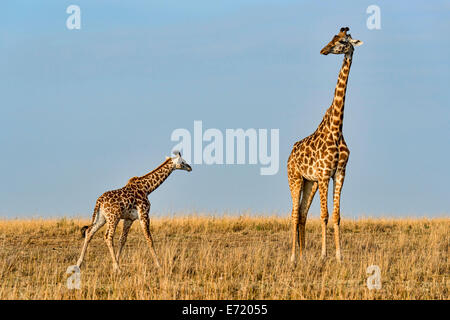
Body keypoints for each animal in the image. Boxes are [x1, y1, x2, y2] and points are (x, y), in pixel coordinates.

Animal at [288, 26, 362, 262]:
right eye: (333, 37)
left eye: (342, 41)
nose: (324, 50)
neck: (337, 128)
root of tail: (290, 154)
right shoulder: (323, 175)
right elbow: (324, 215)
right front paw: (323, 255)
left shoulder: (339, 173)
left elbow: (336, 215)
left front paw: (338, 256)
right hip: (295, 178)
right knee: (294, 214)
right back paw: (293, 258)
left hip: (309, 182)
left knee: (302, 213)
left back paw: (303, 256)